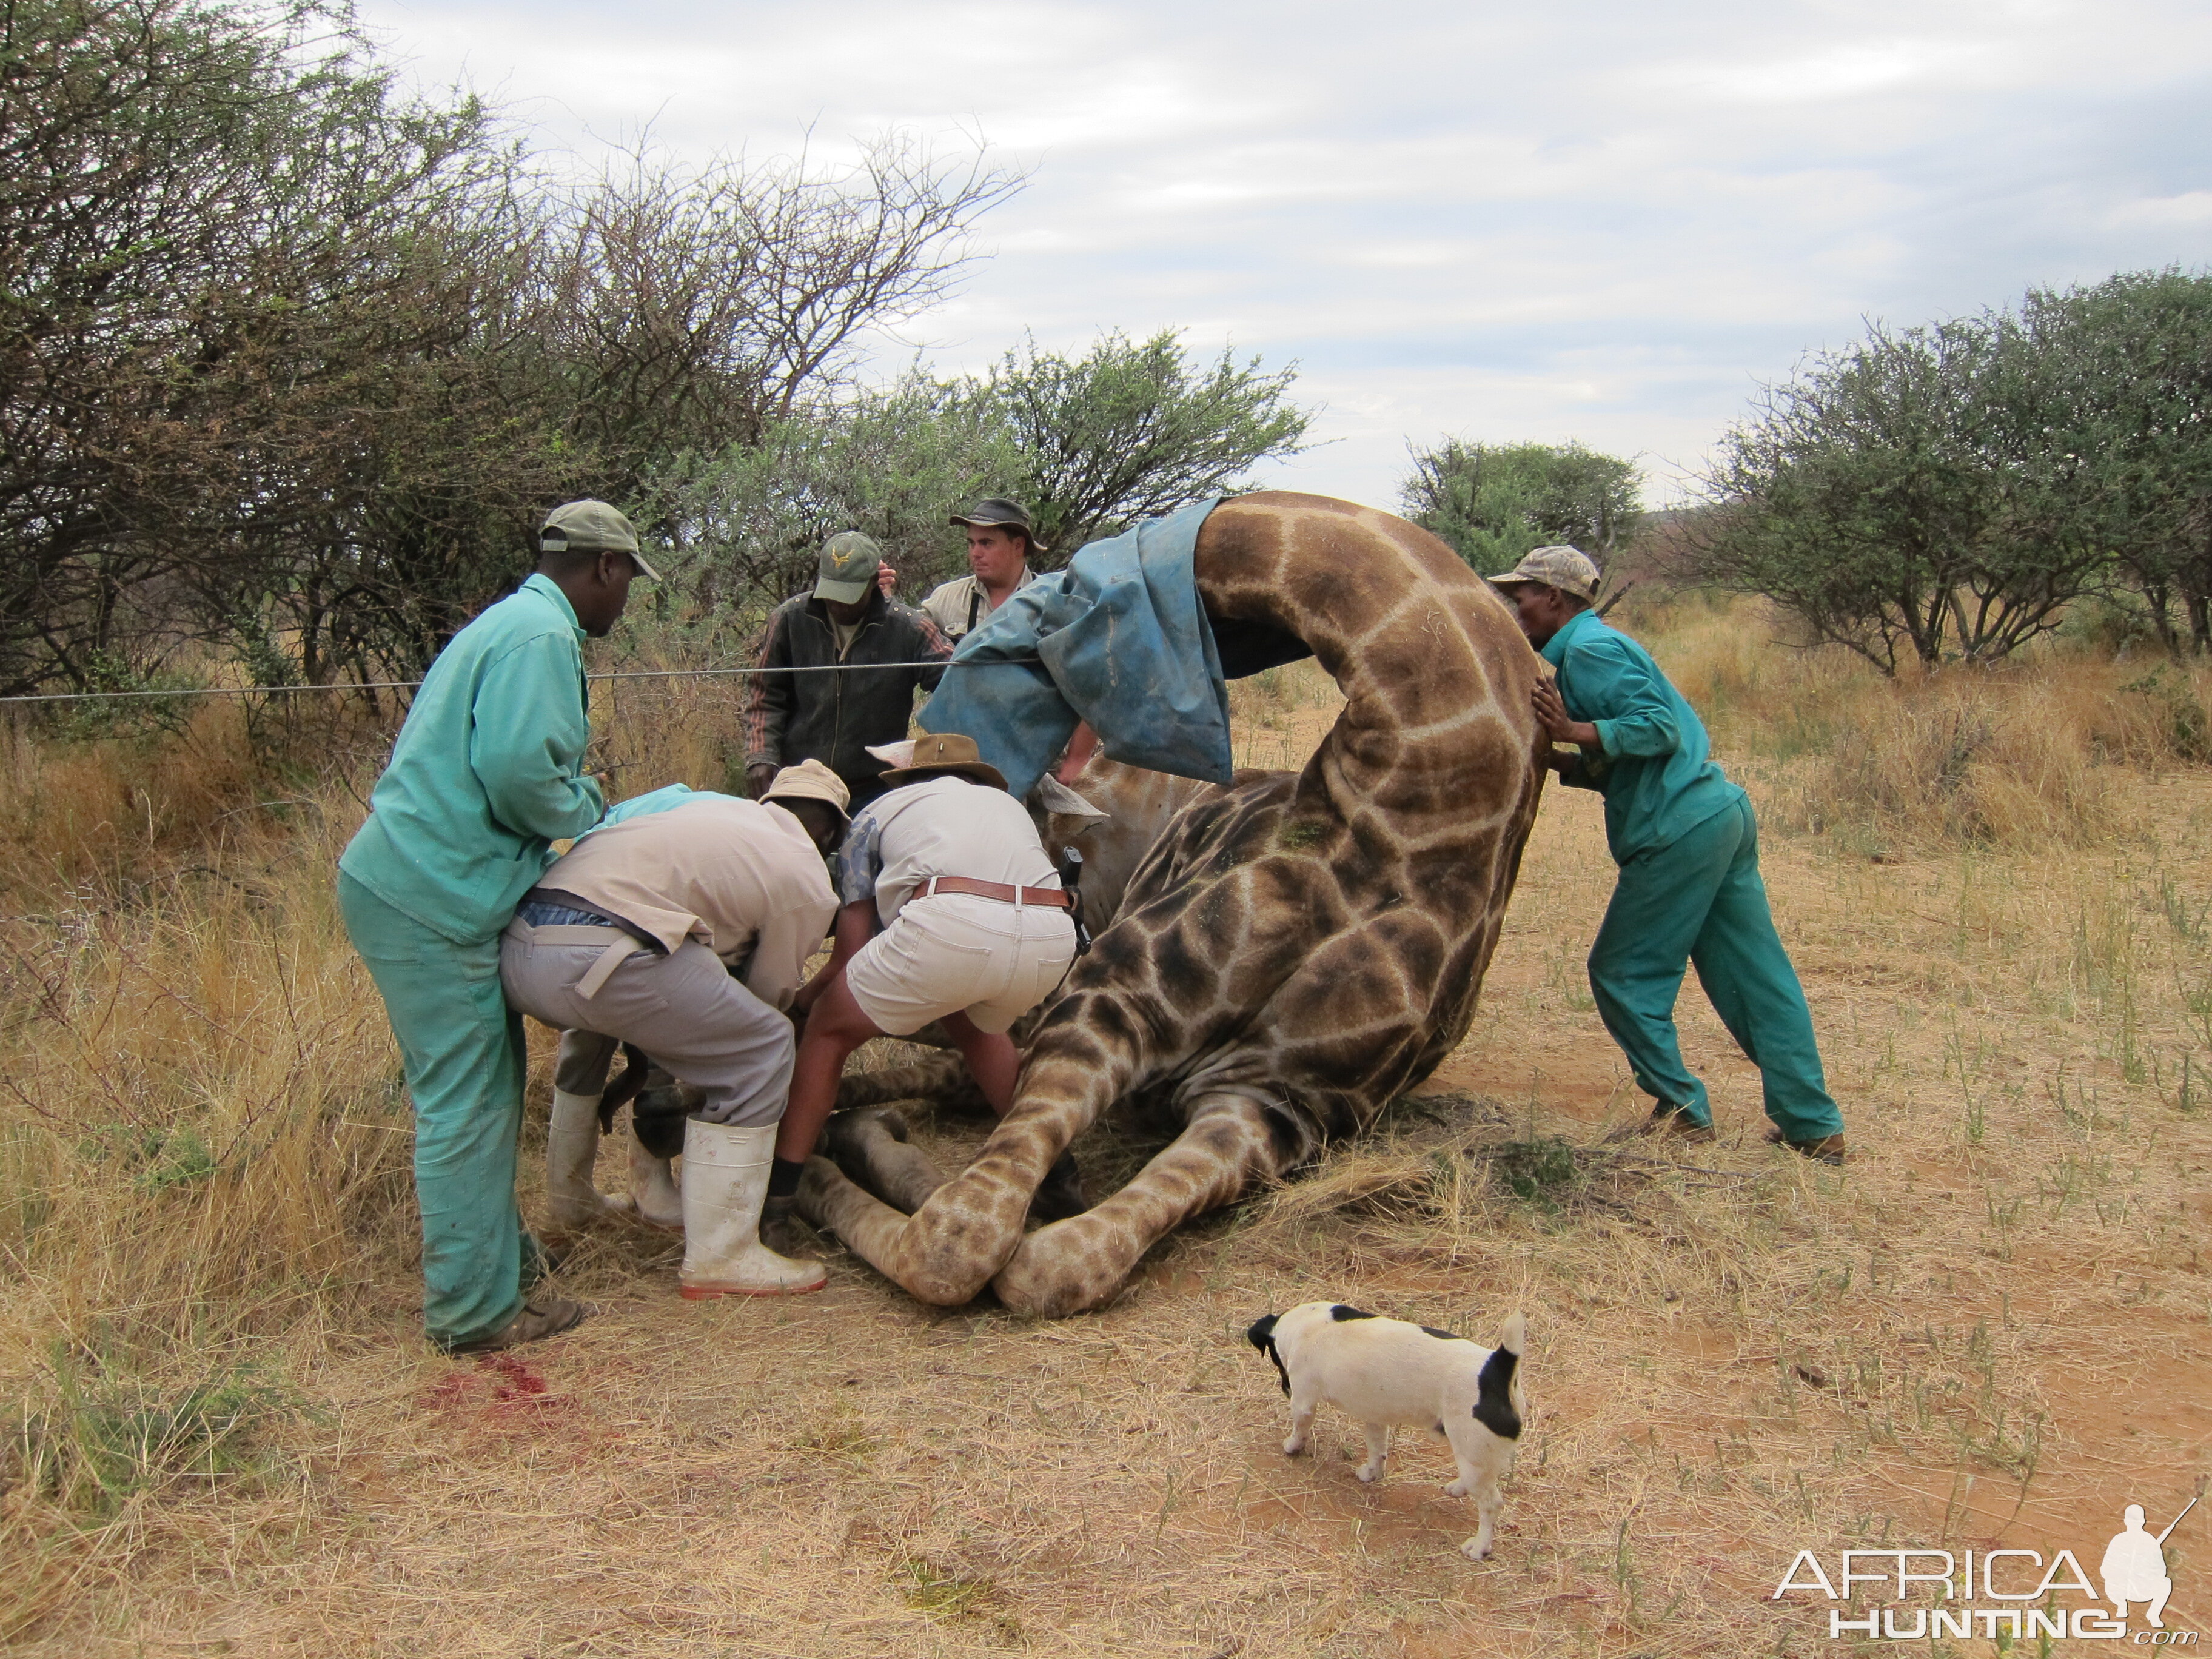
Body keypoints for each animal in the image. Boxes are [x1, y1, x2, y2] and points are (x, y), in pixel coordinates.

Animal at [796, 486, 1540, 1318]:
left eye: (1055, 594)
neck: (1417, 808)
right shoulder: (1203, 1065)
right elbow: (1010, 1235)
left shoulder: (1254, 1096)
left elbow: (1007, 1252)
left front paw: (832, 1150)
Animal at [1256, 1309, 1530, 1566]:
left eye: (1277, 1362)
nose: (1285, 1388)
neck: (1308, 1322)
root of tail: (1500, 1366)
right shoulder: (1375, 1417)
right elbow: (1377, 1450)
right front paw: (1371, 1474)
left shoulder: (1303, 1402)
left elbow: (1299, 1429)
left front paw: (1291, 1447)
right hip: (1471, 1455)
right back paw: (1458, 1487)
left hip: (1473, 1453)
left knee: (1490, 1504)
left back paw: (1480, 1547)